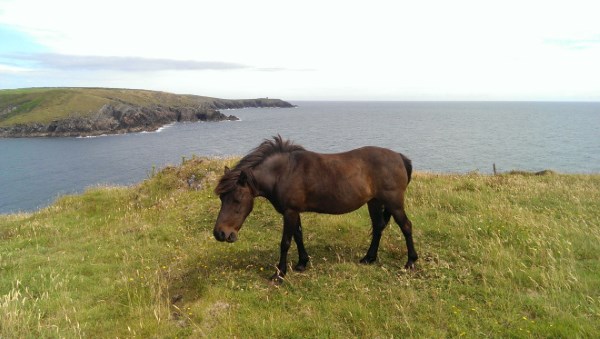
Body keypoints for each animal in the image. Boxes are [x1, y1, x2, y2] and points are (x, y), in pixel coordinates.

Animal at [214, 135, 418, 282]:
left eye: (237, 199)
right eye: (222, 198)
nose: (220, 234)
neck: (283, 173)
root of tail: (400, 157)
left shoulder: (289, 212)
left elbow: (285, 242)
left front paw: (279, 274)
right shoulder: (294, 211)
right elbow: (298, 235)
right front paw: (302, 263)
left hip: (394, 203)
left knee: (406, 227)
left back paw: (411, 262)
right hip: (374, 202)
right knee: (378, 227)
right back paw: (369, 258)